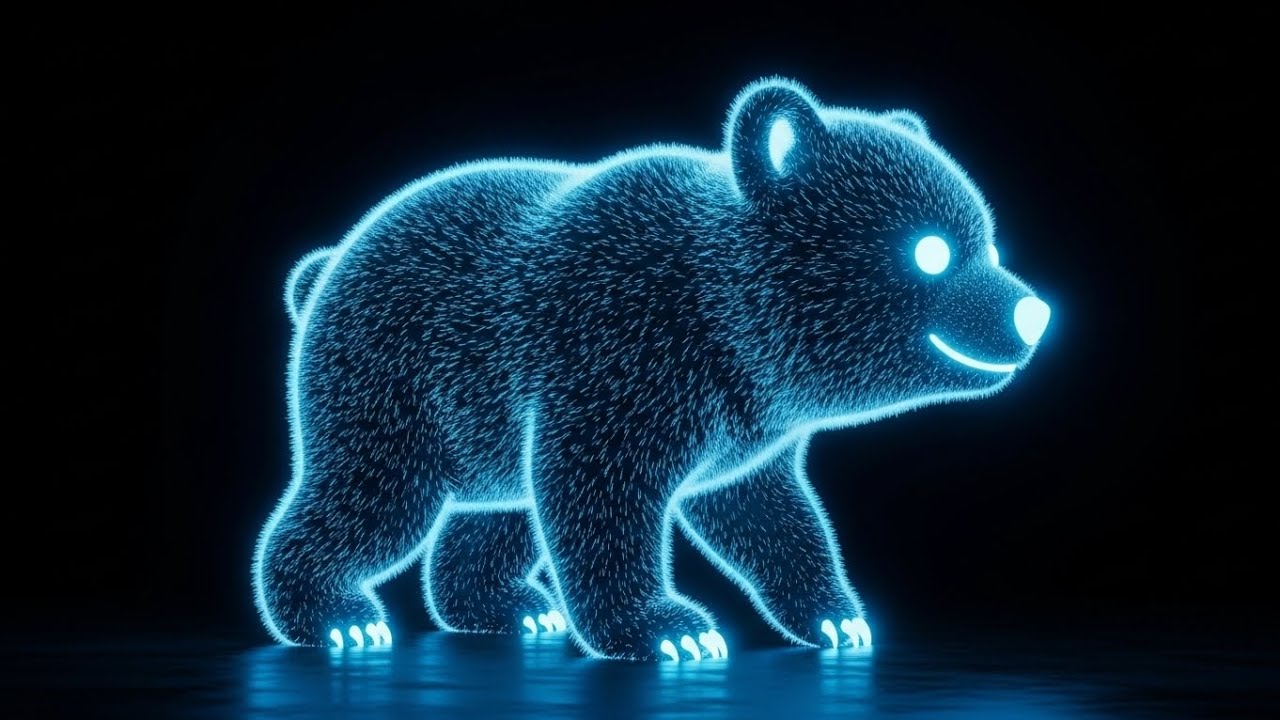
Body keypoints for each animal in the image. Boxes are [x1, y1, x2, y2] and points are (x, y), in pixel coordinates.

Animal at [252, 77, 1051, 661]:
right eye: (932, 250)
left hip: (483, 422)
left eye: (989, 238)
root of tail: (326, 267)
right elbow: (600, 495)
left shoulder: (744, 421)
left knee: (495, 514)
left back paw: (511, 606)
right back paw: (340, 617)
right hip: (393, 380)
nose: (1033, 313)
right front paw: (674, 629)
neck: (725, 325)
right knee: (372, 492)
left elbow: (766, 512)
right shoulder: (618, 357)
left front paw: (838, 619)